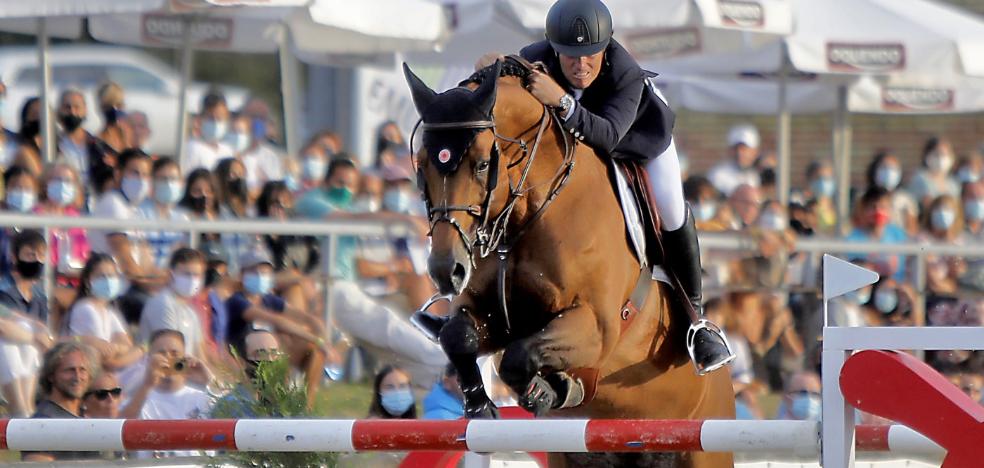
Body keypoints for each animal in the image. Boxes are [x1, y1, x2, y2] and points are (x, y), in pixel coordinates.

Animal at [403, 59, 735, 467]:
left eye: (482, 165)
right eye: (421, 166)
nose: (446, 271)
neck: (530, 214)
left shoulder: (596, 326)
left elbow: (518, 357)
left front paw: (548, 390)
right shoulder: (494, 316)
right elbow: (457, 336)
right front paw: (482, 409)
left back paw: (706, 344)